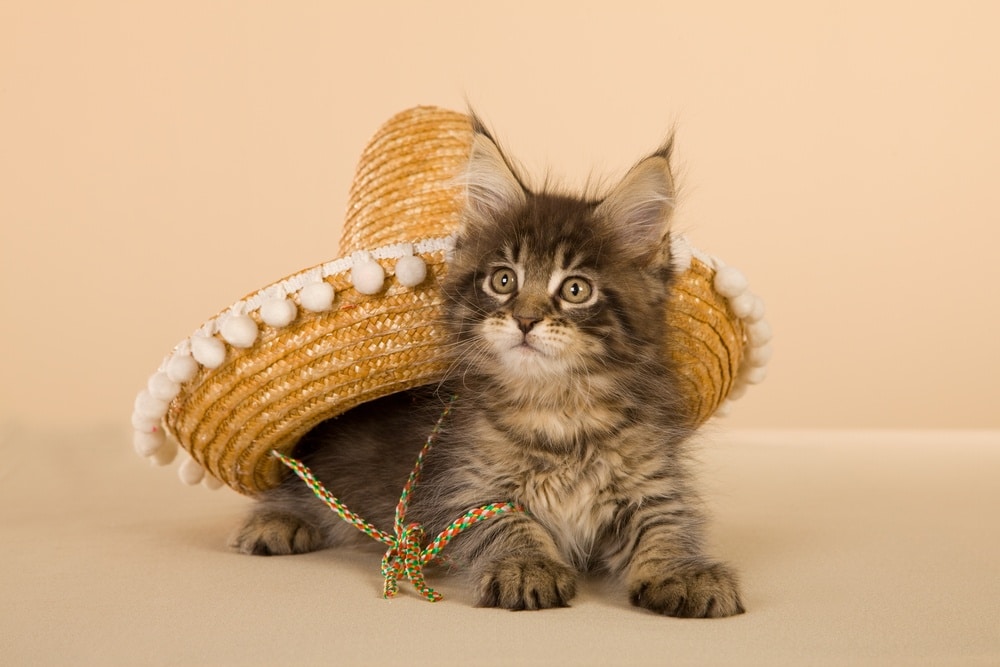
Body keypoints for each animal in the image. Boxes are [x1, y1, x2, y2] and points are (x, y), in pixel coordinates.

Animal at [232, 117, 744, 620]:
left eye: (576, 289)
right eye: (503, 280)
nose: (526, 319)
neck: (558, 408)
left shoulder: (652, 482)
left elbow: (668, 529)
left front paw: (684, 573)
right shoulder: (461, 482)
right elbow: (507, 522)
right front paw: (527, 567)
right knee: (298, 486)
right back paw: (276, 522)